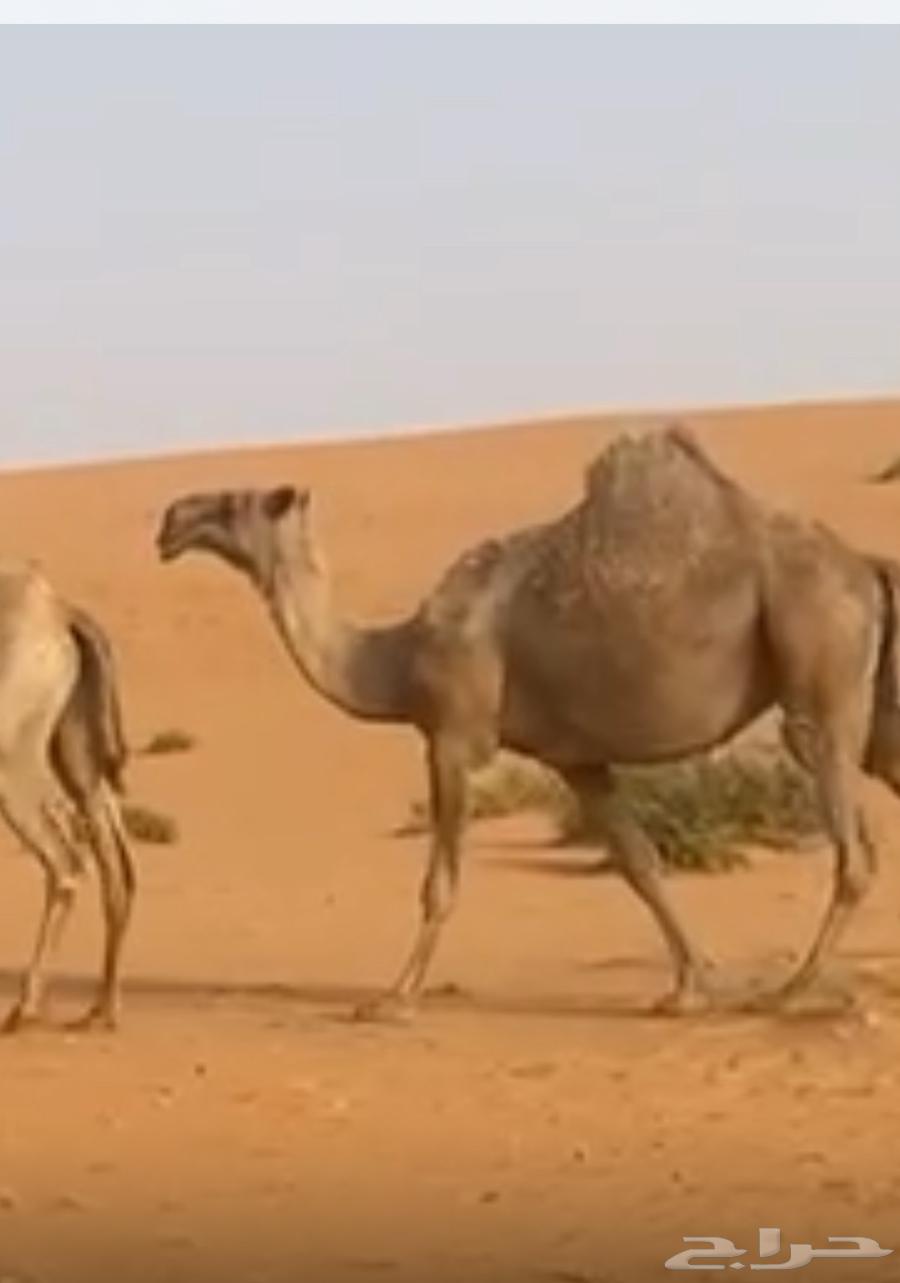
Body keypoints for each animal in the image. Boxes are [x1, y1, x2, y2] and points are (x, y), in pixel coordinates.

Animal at [0, 560, 135, 1031]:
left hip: (12, 756)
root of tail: (61, 614)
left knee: (65, 862)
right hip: (75, 751)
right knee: (116, 864)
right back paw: (101, 1009)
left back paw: (25, 1008)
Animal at [156, 425, 900, 1019]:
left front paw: (392, 1000)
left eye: (237, 501)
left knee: (850, 842)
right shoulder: (576, 757)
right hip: (865, 699)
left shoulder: (452, 737)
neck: (397, 656)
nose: (170, 518)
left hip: (817, 664)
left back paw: (791, 991)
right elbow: (642, 864)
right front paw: (688, 987)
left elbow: (439, 882)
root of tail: (865, 566)